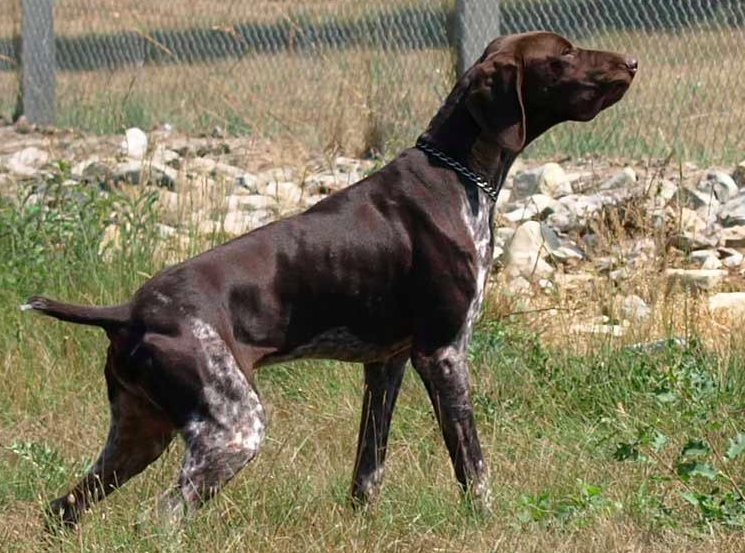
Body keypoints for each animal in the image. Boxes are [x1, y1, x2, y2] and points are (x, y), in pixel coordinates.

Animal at [26, 31, 636, 528]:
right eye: (563, 54)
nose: (631, 61)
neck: (456, 173)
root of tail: (129, 310)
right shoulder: (443, 354)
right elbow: (473, 466)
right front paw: (488, 522)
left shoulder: (386, 365)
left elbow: (369, 468)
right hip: (232, 427)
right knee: (163, 515)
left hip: (139, 434)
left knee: (63, 508)